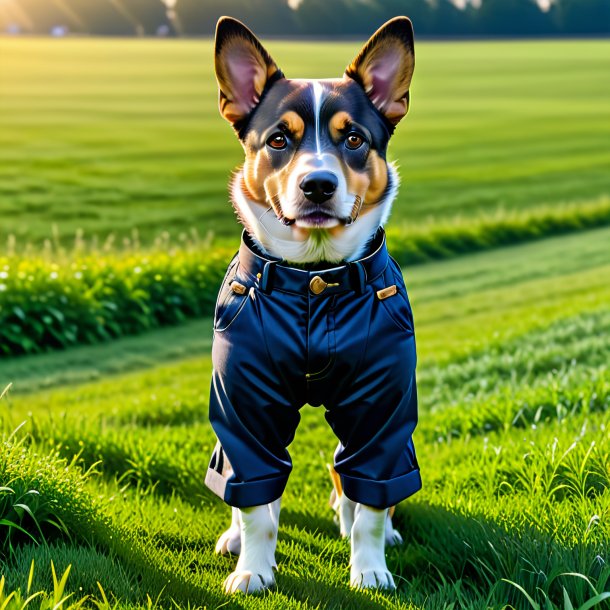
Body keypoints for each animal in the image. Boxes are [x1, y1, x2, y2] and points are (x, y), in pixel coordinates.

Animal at [204, 16, 418, 592]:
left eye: (354, 138)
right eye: (279, 139)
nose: (317, 184)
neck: (316, 278)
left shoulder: (382, 406)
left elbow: (370, 502)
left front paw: (370, 570)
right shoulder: (245, 403)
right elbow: (256, 505)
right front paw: (253, 571)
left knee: (351, 477)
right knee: (245, 484)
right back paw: (234, 538)